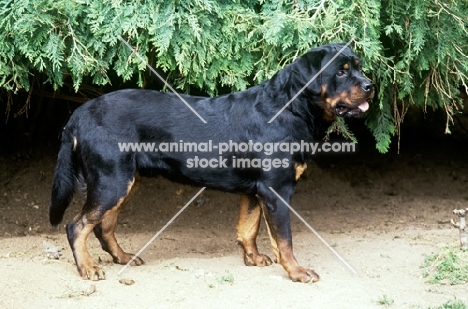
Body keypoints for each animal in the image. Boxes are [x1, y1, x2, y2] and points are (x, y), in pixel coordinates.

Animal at [49, 42, 374, 282]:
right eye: (341, 72)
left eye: (358, 67)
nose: (371, 85)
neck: (290, 108)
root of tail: (80, 113)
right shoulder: (276, 190)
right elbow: (284, 239)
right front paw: (297, 272)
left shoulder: (256, 190)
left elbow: (248, 228)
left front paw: (253, 258)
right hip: (112, 181)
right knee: (77, 226)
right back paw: (88, 268)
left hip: (126, 181)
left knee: (104, 227)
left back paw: (123, 257)